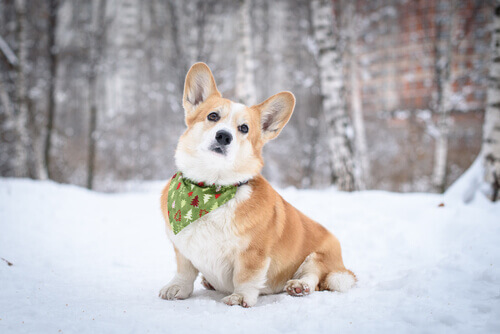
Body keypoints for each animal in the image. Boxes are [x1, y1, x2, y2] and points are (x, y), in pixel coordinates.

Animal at [158, 62, 354, 308]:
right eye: (212, 116)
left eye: (244, 128)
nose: (224, 136)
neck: (211, 187)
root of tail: (343, 264)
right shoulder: (182, 248)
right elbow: (184, 272)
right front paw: (177, 288)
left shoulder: (253, 253)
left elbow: (246, 277)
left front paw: (240, 297)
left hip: (320, 256)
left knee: (316, 275)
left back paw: (299, 285)